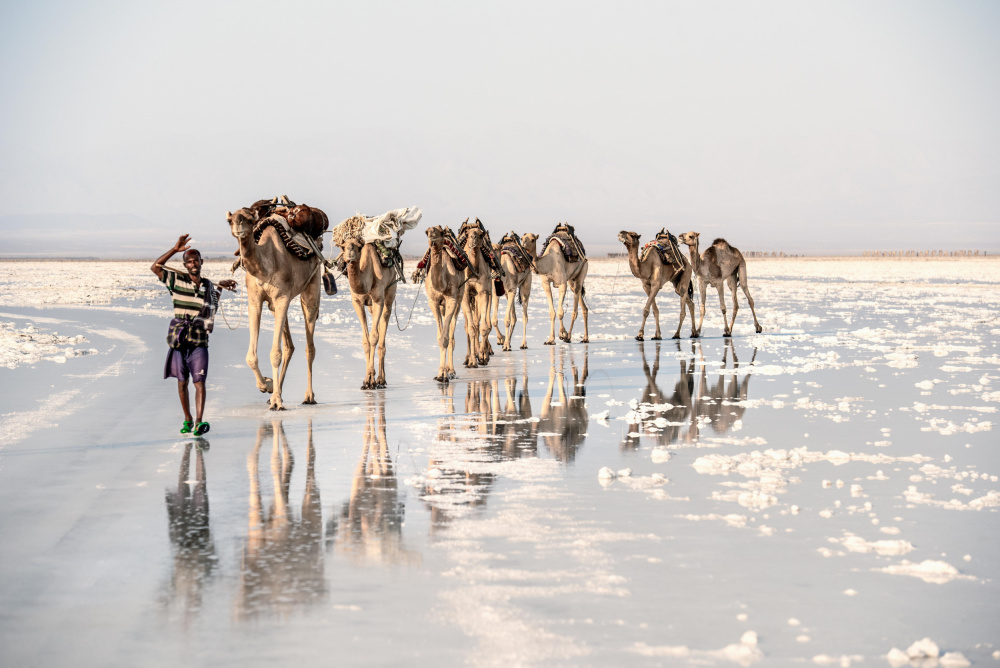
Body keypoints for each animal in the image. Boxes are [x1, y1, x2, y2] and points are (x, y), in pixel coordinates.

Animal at [227, 206, 320, 410]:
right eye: (230, 220)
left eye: (249, 219)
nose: (238, 227)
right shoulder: (255, 300)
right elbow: (251, 357)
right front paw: (268, 387)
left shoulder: (282, 298)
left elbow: (274, 353)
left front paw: (276, 400)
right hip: (272, 306)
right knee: (289, 346)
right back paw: (277, 393)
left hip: (312, 285)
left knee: (309, 346)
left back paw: (309, 396)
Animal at [338, 237, 396, 388]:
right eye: (343, 247)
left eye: (358, 247)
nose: (350, 251)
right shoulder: (357, 301)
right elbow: (366, 340)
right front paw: (366, 380)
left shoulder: (378, 299)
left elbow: (374, 337)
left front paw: (371, 379)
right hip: (370, 307)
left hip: (390, 291)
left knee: (385, 319)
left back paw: (381, 379)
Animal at [424, 226, 466, 378]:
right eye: (426, 231)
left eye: (440, 232)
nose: (432, 237)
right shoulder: (433, 301)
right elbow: (439, 337)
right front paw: (440, 372)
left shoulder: (451, 299)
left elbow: (446, 338)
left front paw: (443, 374)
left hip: (459, 299)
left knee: (452, 334)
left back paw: (451, 370)